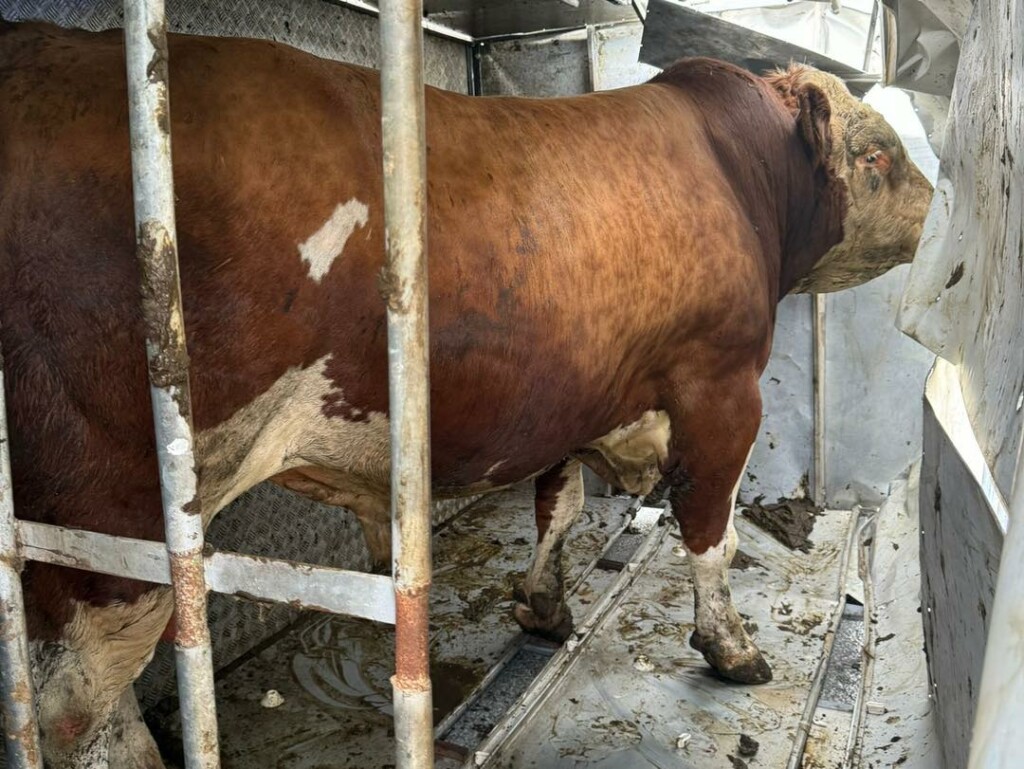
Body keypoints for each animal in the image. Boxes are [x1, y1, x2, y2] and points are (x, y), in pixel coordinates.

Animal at [0, 20, 933, 768]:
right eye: (877, 154)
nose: (934, 201)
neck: (740, 174)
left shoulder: (573, 391)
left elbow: (558, 505)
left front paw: (543, 606)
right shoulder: (723, 386)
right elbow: (710, 530)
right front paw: (732, 649)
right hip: (108, 518)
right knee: (78, 708)